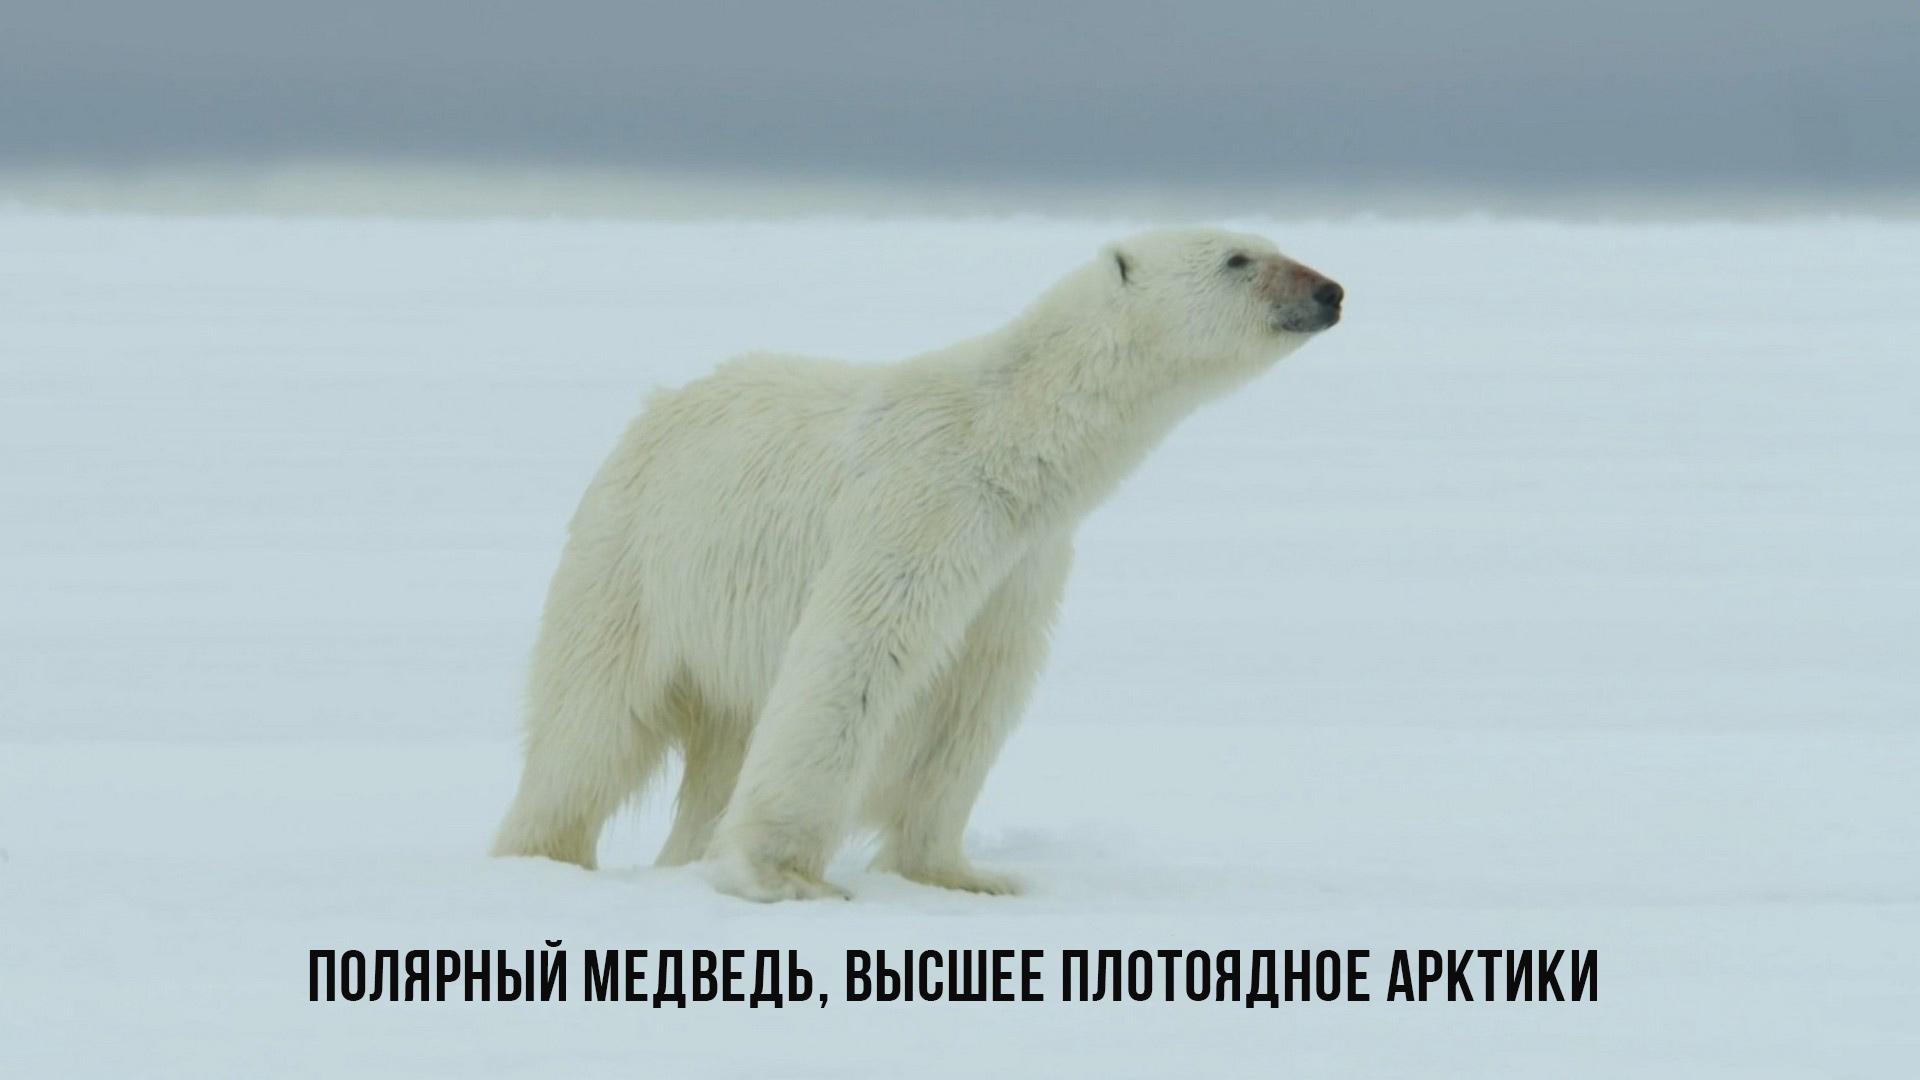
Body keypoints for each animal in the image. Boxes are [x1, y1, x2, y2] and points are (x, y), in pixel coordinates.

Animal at [491, 228, 1343, 901]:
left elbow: (972, 698)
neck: (1011, 444)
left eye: (1269, 242)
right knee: (592, 721)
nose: (1330, 290)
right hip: (636, 553)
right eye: (1239, 258)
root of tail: (654, 409)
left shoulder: (1021, 562)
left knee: (721, 743)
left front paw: (964, 875)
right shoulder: (920, 503)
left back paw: (685, 854)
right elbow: (857, 657)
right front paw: (783, 876)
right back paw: (542, 854)